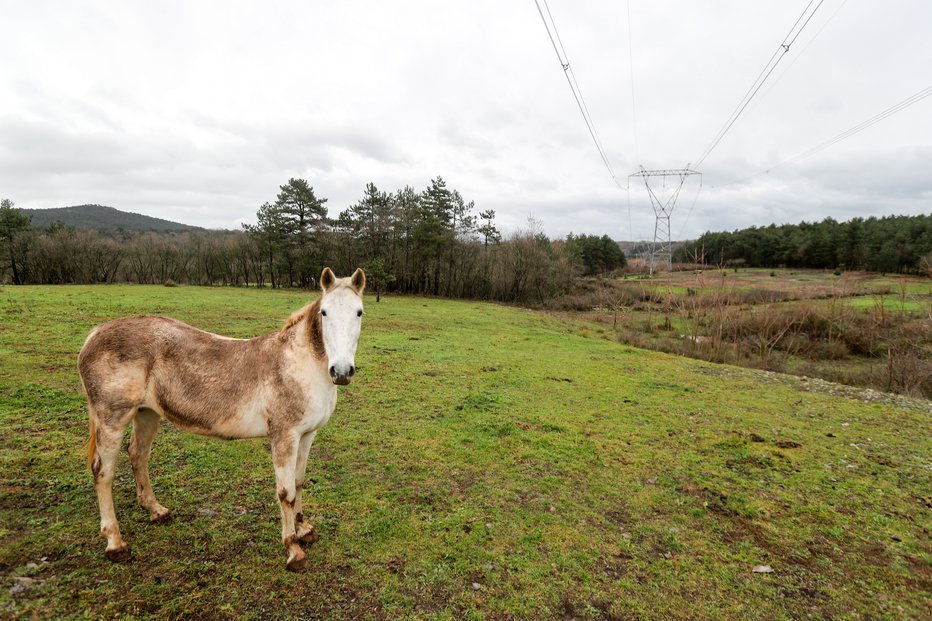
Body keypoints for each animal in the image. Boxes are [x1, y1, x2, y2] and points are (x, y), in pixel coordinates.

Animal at [79, 266, 364, 572]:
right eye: (324, 312)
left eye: (359, 312)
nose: (342, 371)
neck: (299, 364)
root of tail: (95, 334)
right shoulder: (284, 436)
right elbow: (285, 492)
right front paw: (293, 550)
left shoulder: (307, 434)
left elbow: (299, 483)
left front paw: (304, 531)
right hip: (112, 418)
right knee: (103, 473)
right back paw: (115, 543)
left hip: (147, 414)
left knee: (138, 455)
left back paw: (156, 510)